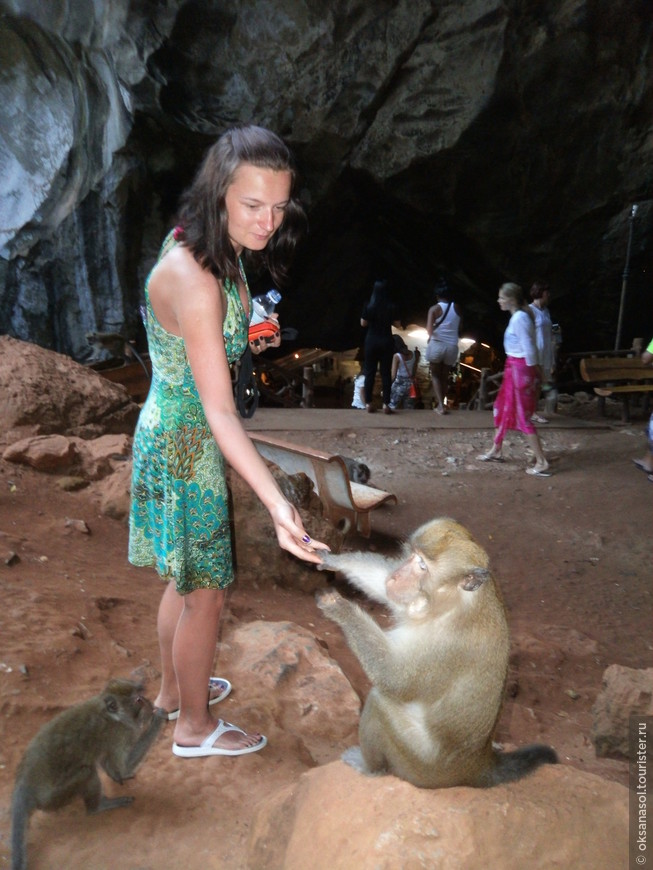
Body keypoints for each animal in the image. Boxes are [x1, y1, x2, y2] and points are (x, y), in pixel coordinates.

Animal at [11, 680, 166, 870]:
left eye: (141, 696)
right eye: (138, 700)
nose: (149, 702)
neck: (112, 716)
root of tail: (24, 784)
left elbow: (109, 764)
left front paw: (116, 776)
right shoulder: (120, 733)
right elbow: (123, 767)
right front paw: (158, 719)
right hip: (52, 798)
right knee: (87, 771)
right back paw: (98, 806)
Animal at [316, 516, 556, 792]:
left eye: (422, 565)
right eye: (412, 555)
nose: (396, 577)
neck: (454, 602)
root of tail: (478, 764)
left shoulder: (447, 642)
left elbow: (396, 678)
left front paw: (339, 607)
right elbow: (380, 585)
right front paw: (330, 558)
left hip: (423, 768)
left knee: (378, 703)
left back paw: (371, 768)